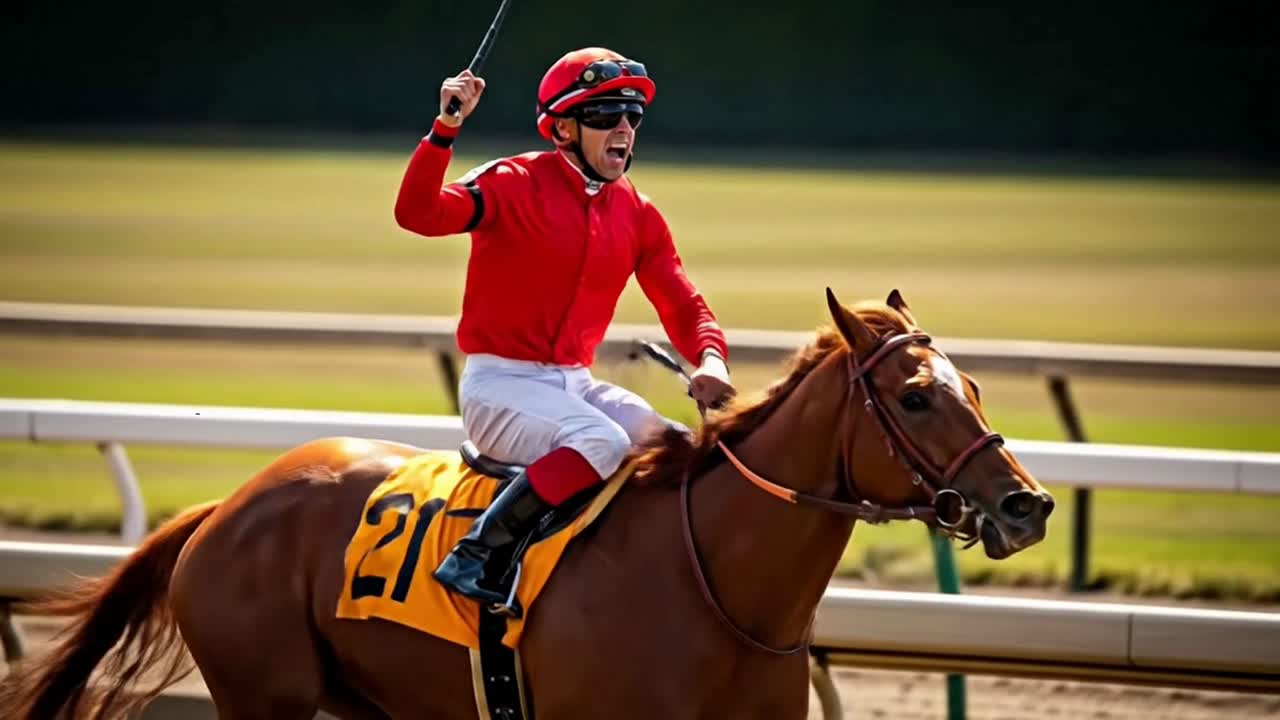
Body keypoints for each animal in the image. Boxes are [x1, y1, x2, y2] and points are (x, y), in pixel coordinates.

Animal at [3, 289, 1053, 720]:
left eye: (974, 388)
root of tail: (226, 505)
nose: (1028, 507)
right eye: (914, 397)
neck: (715, 583)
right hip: (265, 696)